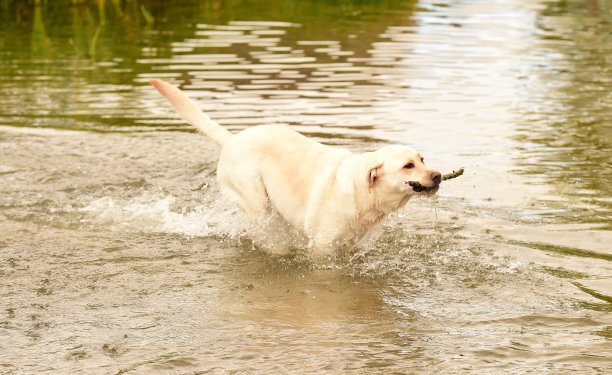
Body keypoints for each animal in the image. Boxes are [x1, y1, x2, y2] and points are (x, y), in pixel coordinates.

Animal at [152, 79, 440, 256]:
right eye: (408, 166)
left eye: (422, 159)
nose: (437, 175)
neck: (363, 195)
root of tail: (232, 138)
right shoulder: (322, 249)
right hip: (258, 203)